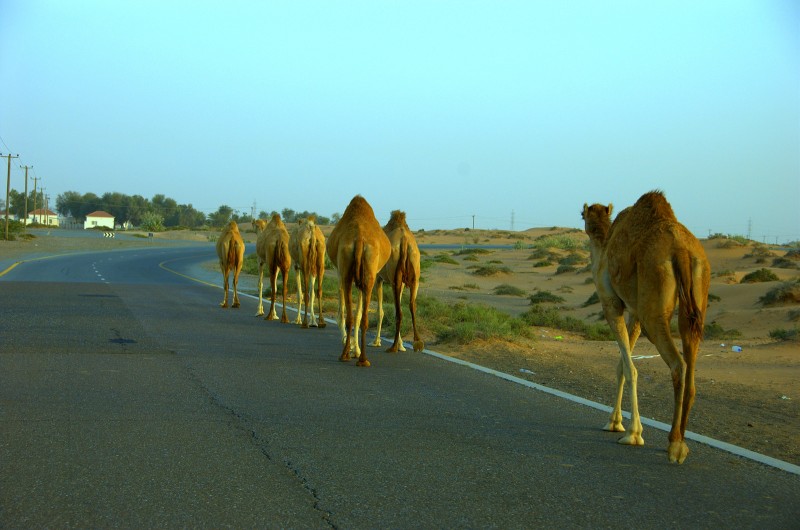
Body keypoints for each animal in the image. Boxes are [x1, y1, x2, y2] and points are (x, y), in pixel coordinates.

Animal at [324, 195, 390, 368]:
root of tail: (359, 238)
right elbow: (357, 313)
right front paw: (355, 348)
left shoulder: (340, 272)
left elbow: (343, 312)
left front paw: (353, 347)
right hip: (368, 275)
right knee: (361, 317)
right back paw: (362, 359)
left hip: (347, 270)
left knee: (351, 316)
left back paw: (347, 354)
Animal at [368, 209, 424, 350]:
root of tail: (404, 240)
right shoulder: (402, 282)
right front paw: (401, 344)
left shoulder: (378, 278)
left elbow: (380, 311)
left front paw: (376, 341)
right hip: (414, 275)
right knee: (410, 305)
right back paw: (417, 343)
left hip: (394, 278)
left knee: (399, 311)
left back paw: (393, 346)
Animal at [580, 190, 712, 462]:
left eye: (581, 214)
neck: (604, 245)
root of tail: (681, 250)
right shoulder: (636, 312)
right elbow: (622, 364)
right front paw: (615, 422)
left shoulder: (612, 304)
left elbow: (629, 368)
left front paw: (632, 432)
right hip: (697, 292)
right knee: (691, 362)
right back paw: (682, 441)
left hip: (655, 298)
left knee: (678, 364)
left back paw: (674, 444)